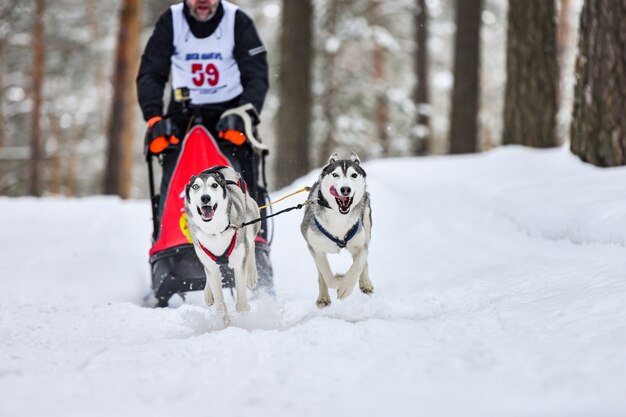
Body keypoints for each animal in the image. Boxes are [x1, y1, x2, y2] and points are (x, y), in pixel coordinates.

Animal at [183, 164, 258, 324]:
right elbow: (219, 302)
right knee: (208, 272)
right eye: (195, 186)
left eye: (214, 185)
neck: (216, 230)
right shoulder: (209, 262)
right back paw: (208, 293)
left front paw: (244, 313)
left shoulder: (238, 260)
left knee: (251, 244)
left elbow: (241, 304)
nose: (205, 197)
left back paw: (251, 276)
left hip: (250, 222)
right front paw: (225, 322)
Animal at [302, 152, 372, 306]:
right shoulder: (315, 247)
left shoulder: (360, 245)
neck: (339, 218)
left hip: (367, 226)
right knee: (321, 274)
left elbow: (358, 264)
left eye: (353, 175)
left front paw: (346, 287)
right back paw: (323, 297)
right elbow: (327, 275)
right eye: (335, 175)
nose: (345, 189)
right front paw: (339, 279)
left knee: (363, 261)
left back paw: (365, 283)